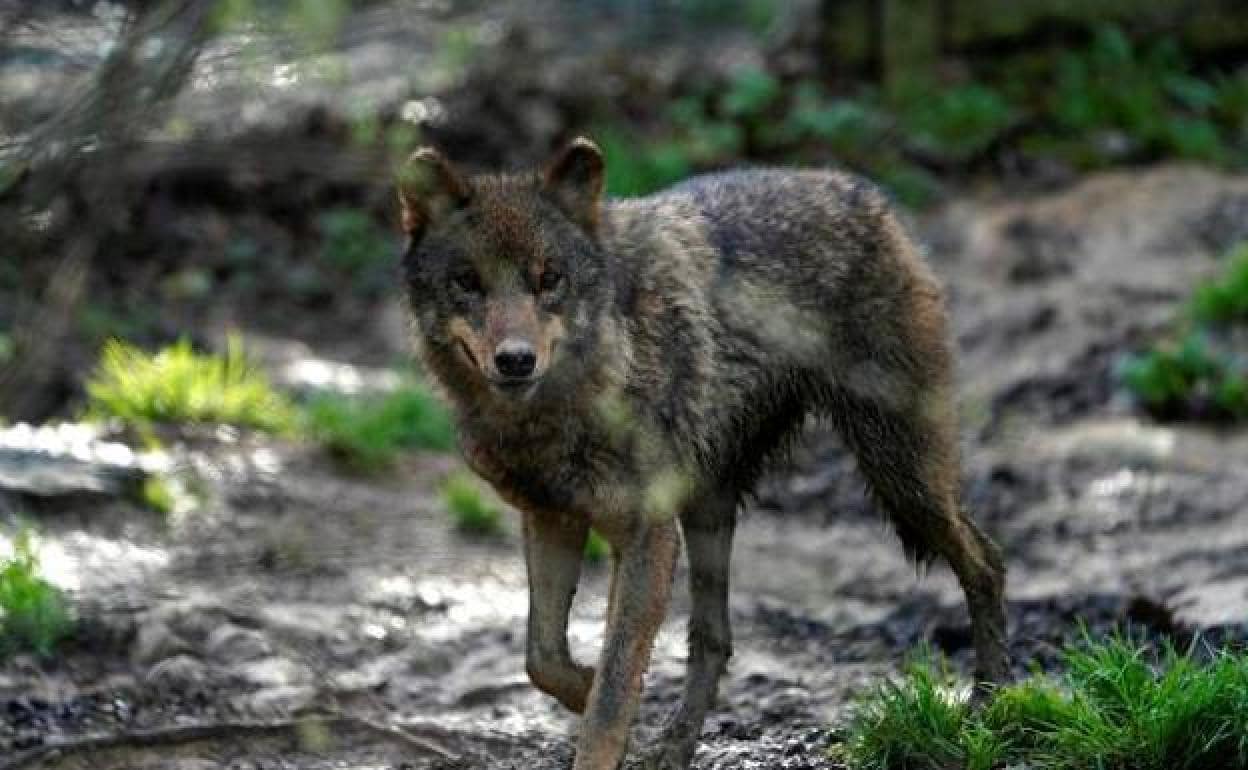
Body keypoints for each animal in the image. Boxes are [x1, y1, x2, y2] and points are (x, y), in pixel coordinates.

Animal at [394, 139, 1008, 768]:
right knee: (714, 639)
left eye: (550, 279)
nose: (516, 360)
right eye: (467, 282)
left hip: (902, 477)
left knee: (987, 562)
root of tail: (862, 192)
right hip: (711, 510)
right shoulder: (552, 517)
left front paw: (603, 719)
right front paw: (591, 693)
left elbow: (613, 690)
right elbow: (543, 658)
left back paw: (988, 700)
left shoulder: (646, 535)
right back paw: (675, 745)